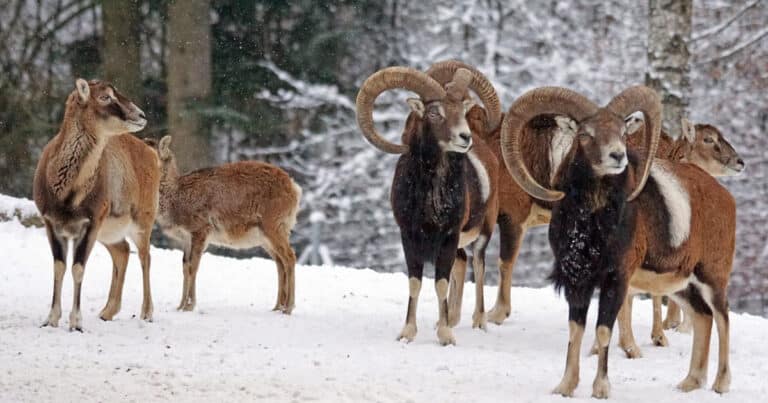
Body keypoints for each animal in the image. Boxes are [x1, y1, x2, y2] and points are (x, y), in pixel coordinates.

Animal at [33, 79, 159, 332]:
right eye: (105, 97)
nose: (141, 115)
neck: (68, 196)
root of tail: (153, 153)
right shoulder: (51, 223)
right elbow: (59, 266)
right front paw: (50, 320)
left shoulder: (90, 222)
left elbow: (78, 268)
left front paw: (76, 323)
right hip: (108, 231)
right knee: (122, 251)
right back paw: (107, 312)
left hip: (143, 219)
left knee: (145, 256)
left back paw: (147, 313)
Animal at [150, 137, 304, 314]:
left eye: (149, 147)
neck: (175, 201)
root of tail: (295, 188)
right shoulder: (186, 237)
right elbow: (185, 266)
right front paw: (180, 306)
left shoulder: (200, 228)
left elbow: (193, 266)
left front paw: (189, 306)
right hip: (266, 235)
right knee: (279, 262)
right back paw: (278, 306)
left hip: (274, 224)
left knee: (290, 257)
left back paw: (289, 307)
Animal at [356, 68, 500, 346]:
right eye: (435, 113)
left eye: (462, 110)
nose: (464, 137)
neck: (431, 199)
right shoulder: (409, 236)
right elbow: (415, 282)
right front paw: (407, 333)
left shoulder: (448, 237)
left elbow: (441, 283)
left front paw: (445, 336)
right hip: (459, 246)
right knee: (462, 264)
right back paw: (451, 318)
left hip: (482, 234)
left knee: (478, 266)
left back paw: (479, 322)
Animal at [504, 87, 732, 400]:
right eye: (585, 134)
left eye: (623, 133)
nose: (617, 156)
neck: (588, 224)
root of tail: (725, 198)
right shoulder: (578, 282)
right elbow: (576, 330)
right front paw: (565, 387)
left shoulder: (616, 279)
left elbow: (603, 331)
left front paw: (601, 389)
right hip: (682, 287)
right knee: (703, 318)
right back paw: (689, 383)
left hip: (712, 277)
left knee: (722, 319)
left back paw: (721, 385)